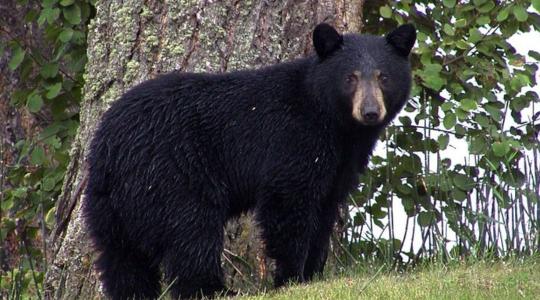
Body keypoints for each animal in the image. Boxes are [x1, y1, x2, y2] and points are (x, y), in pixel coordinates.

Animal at [82, 22, 416, 298]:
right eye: (350, 78)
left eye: (384, 77)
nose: (370, 112)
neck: (334, 123)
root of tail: (108, 148)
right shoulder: (293, 140)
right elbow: (288, 205)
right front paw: (291, 278)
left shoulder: (340, 164)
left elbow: (325, 210)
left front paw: (313, 275)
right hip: (171, 175)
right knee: (191, 233)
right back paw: (215, 290)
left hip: (109, 205)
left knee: (121, 259)